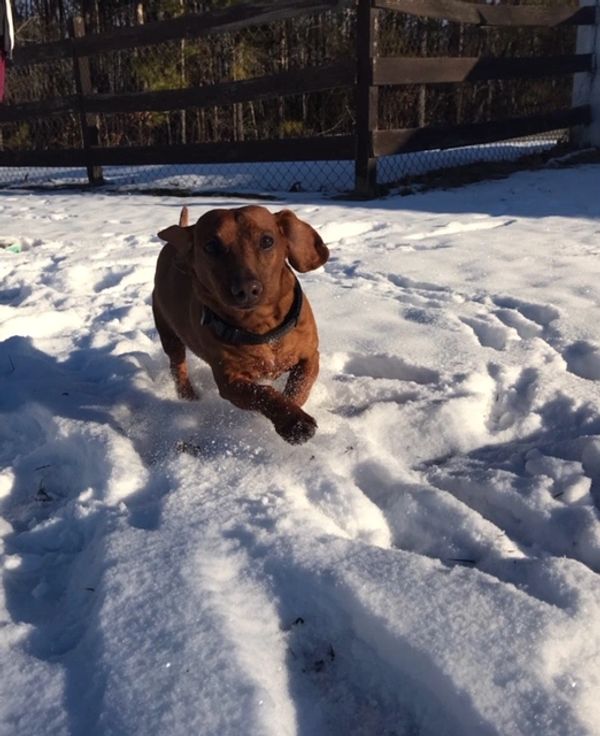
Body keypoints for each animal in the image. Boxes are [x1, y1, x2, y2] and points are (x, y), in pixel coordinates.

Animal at [150, 203, 328, 442]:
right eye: (211, 246)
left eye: (267, 241)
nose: (246, 289)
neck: (262, 327)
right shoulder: (230, 382)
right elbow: (263, 393)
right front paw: (294, 422)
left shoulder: (310, 356)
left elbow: (299, 386)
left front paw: (293, 409)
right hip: (168, 332)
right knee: (177, 366)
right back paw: (187, 395)